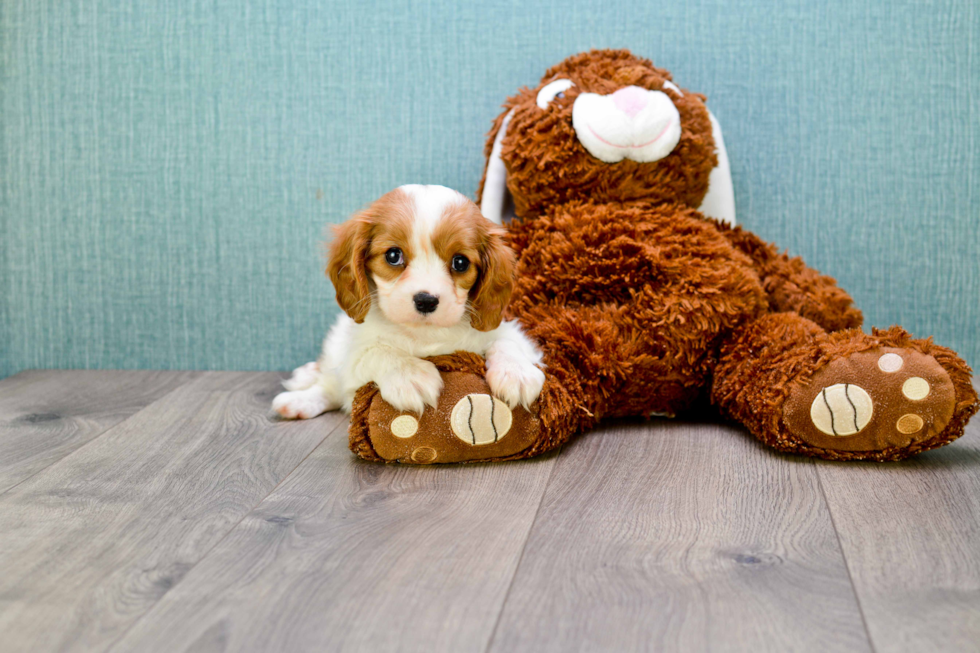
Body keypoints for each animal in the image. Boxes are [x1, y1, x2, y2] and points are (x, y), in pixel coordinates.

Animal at [272, 183, 544, 418]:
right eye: (393, 255)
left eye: (460, 262)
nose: (426, 301)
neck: (426, 333)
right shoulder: (354, 358)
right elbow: (378, 351)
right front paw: (410, 375)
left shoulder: (513, 333)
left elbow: (506, 341)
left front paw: (517, 373)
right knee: (328, 385)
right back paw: (298, 398)